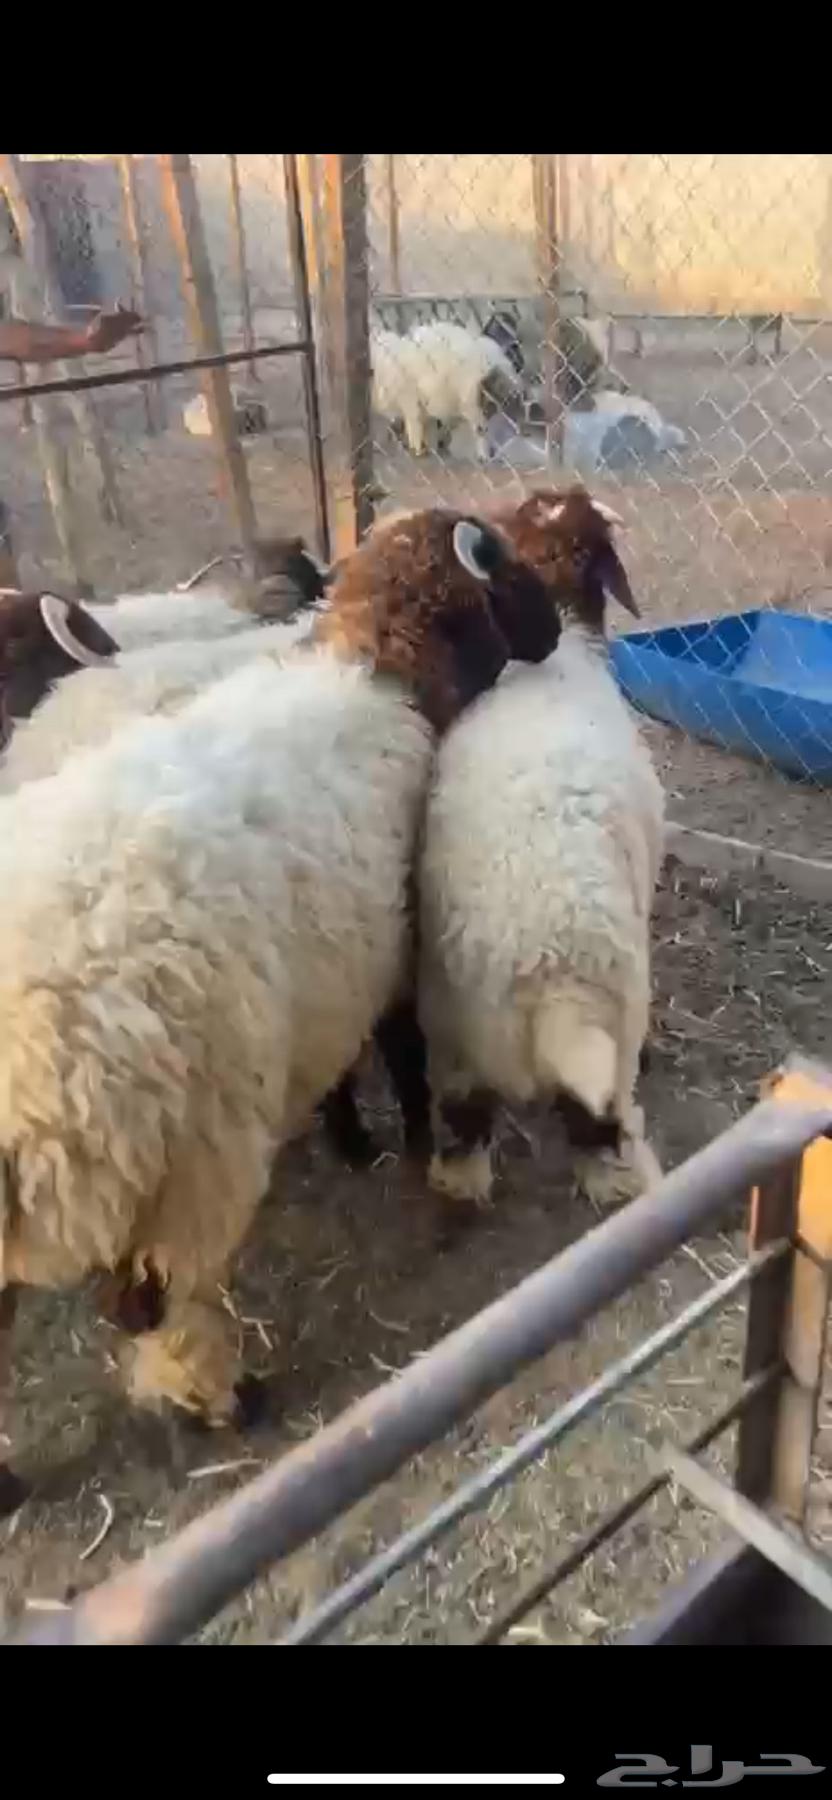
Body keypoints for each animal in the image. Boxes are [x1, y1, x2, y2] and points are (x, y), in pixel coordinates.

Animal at [0, 507, 558, 1501]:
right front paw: (414, 1147)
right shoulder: (394, 949)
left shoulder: (332, 967)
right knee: (157, 1302)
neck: (376, 673)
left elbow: (342, 1074)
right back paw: (222, 1402)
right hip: (175, 1150)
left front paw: (350, 1140)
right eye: (506, 568)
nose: (561, 629)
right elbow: (405, 1057)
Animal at [419, 486, 665, 1217]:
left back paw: (457, 1182)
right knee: (598, 1122)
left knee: (464, 1115)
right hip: (617, 1017)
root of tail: (550, 967)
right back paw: (624, 1180)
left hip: (451, 1026)